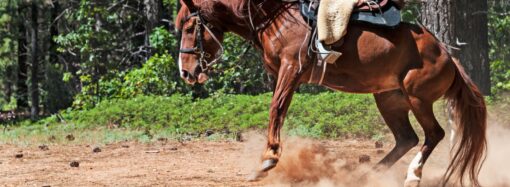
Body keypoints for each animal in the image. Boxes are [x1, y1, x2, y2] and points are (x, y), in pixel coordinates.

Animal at [177, 0, 488, 186]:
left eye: (191, 27)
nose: (185, 72)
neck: (274, 17)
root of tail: (447, 56)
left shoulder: (291, 69)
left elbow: (276, 109)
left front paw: (267, 160)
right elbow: (277, 109)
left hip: (417, 99)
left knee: (433, 134)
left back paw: (412, 174)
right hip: (388, 98)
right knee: (406, 138)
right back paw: (366, 174)